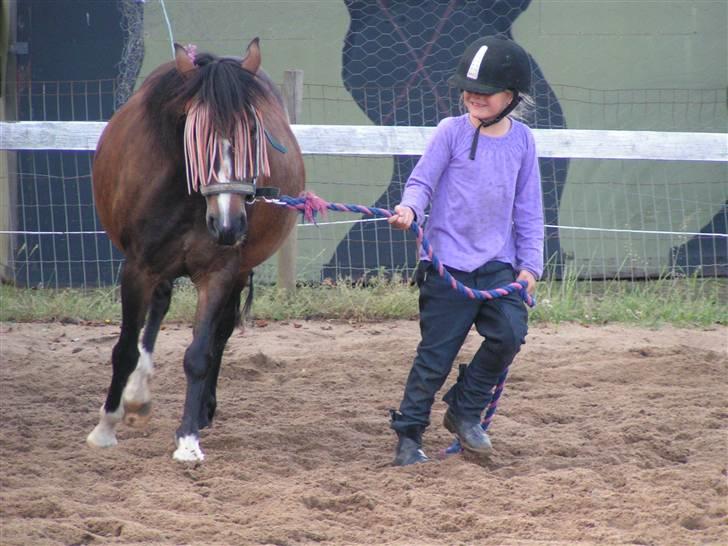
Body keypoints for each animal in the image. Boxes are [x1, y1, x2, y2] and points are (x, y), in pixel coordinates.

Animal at [87, 38, 304, 460]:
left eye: (254, 130)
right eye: (196, 134)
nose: (229, 224)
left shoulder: (219, 272)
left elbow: (200, 354)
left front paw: (188, 438)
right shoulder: (137, 268)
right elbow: (125, 347)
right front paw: (106, 427)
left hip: (237, 271)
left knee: (220, 334)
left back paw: (201, 412)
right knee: (158, 309)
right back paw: (137, 396)